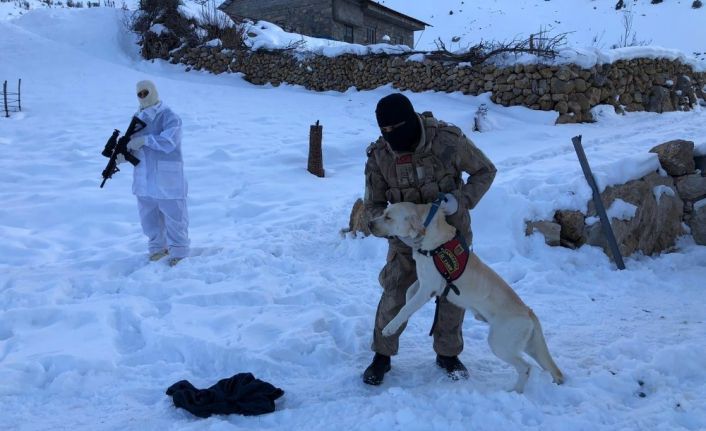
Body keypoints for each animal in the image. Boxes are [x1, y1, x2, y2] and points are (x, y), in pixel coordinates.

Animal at [368, 201, 560, 394]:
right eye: (383, 212)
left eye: (388, 217)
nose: (369, 224)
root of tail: (529, 312)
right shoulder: (423, 283)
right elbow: (408, 294)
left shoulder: (428, 288)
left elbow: (405, 308)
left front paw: (390, 327)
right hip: (530, 346)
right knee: (543, 367)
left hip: (500, 343)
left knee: (526, 368)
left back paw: (515, 392)